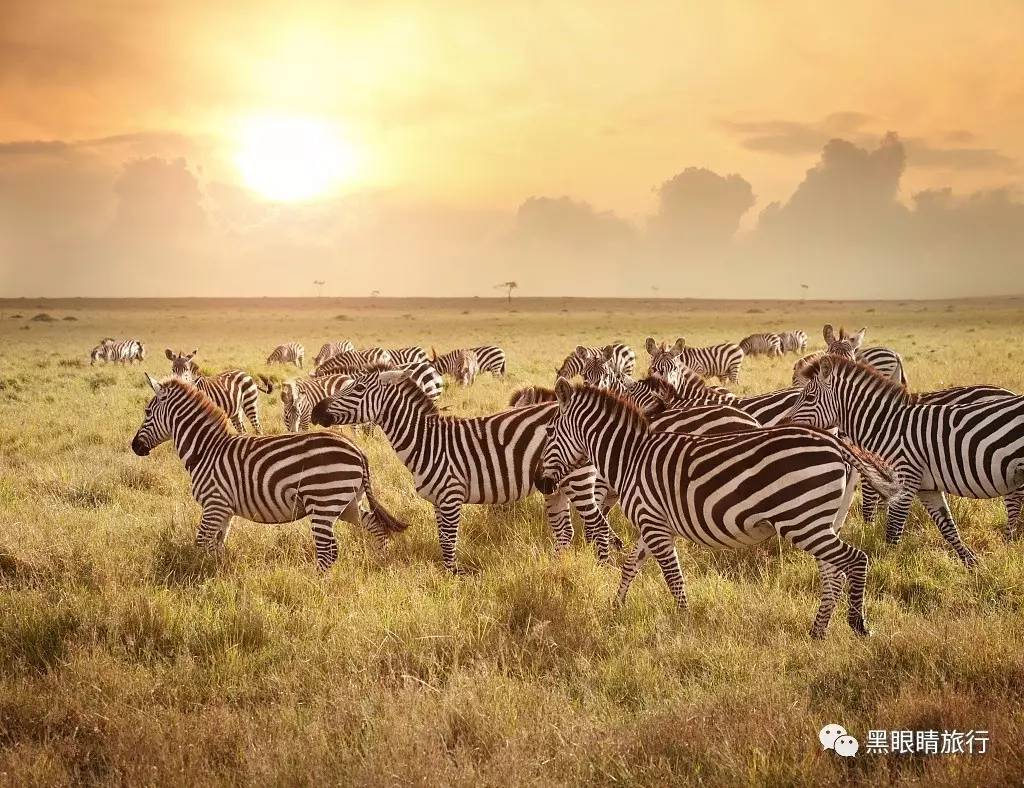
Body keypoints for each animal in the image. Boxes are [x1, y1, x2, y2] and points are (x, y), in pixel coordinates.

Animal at [132, 372, 407, 564]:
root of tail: (357, 450)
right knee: (375, 526)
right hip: (347, 503)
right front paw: (215, 574)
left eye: (147, 412)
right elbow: (217, 546)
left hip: (323, 502)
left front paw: (195, 574)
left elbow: (200, 544)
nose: (134, 447)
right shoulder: (225, 510)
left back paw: (318, 586)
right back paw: (379, 560)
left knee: (328, 552)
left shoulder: (214, 504)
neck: (206, 450)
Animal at [305, 370, 606, 573]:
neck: (427, 442)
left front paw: (453, 581)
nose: (316, 411)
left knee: (598, 527)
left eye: (357, 388)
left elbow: (449, 545)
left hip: (578, 481)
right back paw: (556, 569)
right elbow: (442, 542)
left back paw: (602, 568)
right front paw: (446, 578)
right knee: (566, 532)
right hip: (556, 486)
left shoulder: (451, 497)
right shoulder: (439, 502)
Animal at [540, 380, 901, 638]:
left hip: (802, 520)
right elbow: (631, 565)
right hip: (822, 521)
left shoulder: (653, 524)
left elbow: (673, 577)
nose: (543, 485)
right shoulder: (653, 523)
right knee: (833, 572)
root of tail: (836, 443)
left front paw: (684, 623)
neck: (631, 457)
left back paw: (858, 624)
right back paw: (817, 632)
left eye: (549, 432)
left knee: (855, 560)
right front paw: (615, 608)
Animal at [782, 356, 1024, 564]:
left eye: (809, 398)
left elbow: (892, 532)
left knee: (1013, 509)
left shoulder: (904, 480)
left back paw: (1007, 546)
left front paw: (886, 569)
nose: (784, 423)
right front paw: (972, 565)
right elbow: (947, 527)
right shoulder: (926, 487)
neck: (888, 426)